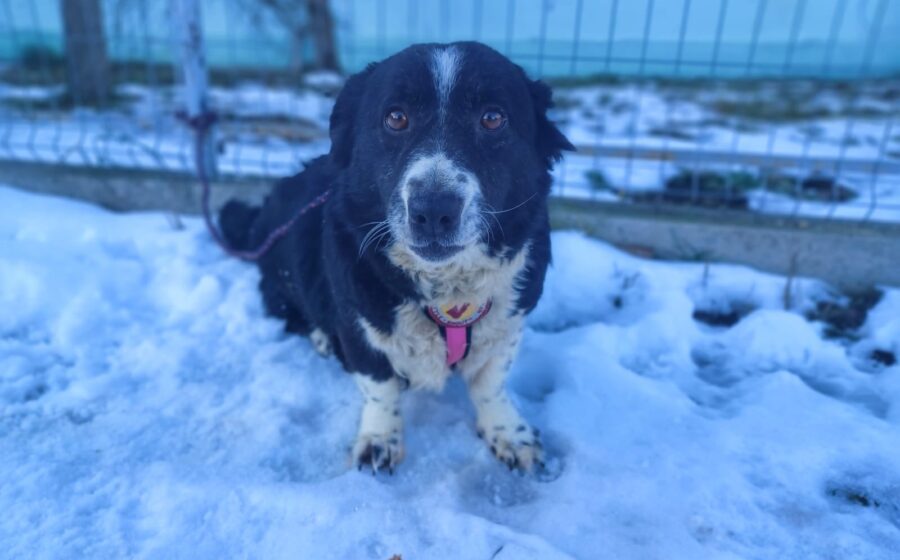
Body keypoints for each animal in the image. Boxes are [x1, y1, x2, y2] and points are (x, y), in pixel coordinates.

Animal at [220, 41, 574, 473]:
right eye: (395, 117)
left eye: (493, 118)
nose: (433, 211)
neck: (446, 292)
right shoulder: (358, 328)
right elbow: (379, 385)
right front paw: (378, 438)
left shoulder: (509, 324)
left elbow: (491, 382)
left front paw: (509, 431)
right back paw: (320, 337)